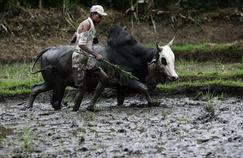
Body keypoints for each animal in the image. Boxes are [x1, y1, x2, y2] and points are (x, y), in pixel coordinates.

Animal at [28, 24, 178, 111]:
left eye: (173, 58)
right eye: (163, 60)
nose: (174, 77)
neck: (138, 57)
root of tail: (48, 50)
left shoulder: (119, 87)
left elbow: (121, 100)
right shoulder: (128, 80)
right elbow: (143, 88)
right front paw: (153, 103)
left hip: (51, 83)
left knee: (35, 88)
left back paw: (29, 107)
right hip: (59, 85)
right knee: (55, 102)